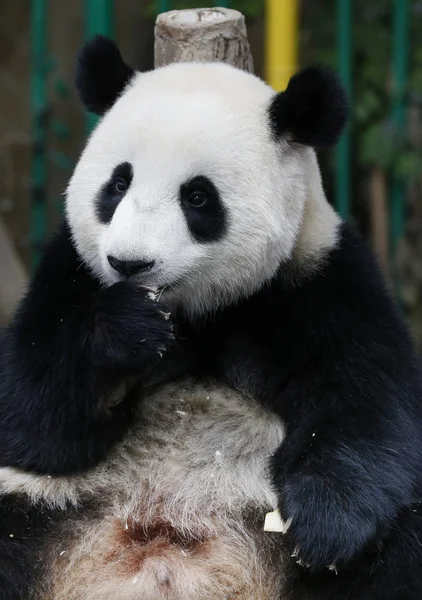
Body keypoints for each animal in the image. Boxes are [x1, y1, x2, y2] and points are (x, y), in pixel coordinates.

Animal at [0, 36, 422, 600]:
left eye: (197, 196)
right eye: (118, 184)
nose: (129, 264)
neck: (195, 313)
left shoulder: (318, 279)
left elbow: (368, 404)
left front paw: (324, 529)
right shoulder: (69, 273)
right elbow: (29, 412)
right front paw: (128, 331)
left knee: (400, 546)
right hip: (38, 512)